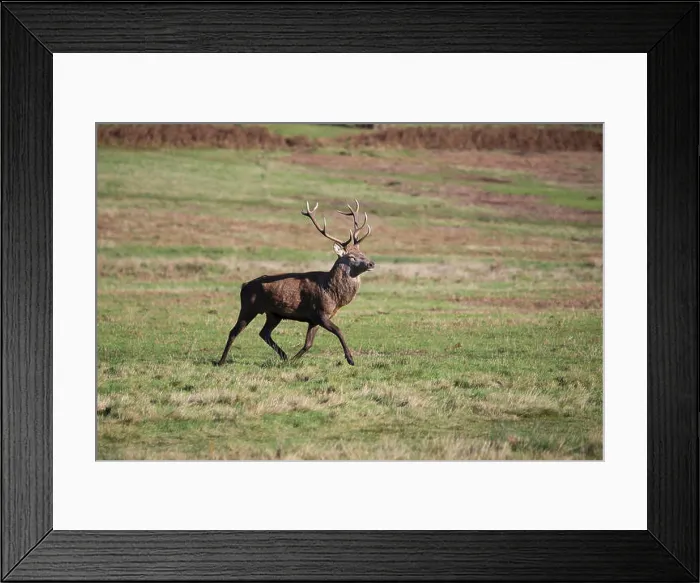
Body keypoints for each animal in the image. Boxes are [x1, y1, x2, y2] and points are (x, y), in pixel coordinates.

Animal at [216, 199, 375, 367]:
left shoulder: (314, 319)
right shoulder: (319, 312)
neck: (333, 294)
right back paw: (221, 361)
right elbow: (339, 331)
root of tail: (244, 286)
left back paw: (284, 356)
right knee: (234, 331)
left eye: (363, 253)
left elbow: (308, 344)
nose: (371, 263)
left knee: (264, 333)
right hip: (249, 307)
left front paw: (292, 360)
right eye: (351, 256)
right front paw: (350, 359)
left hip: (274, 314)